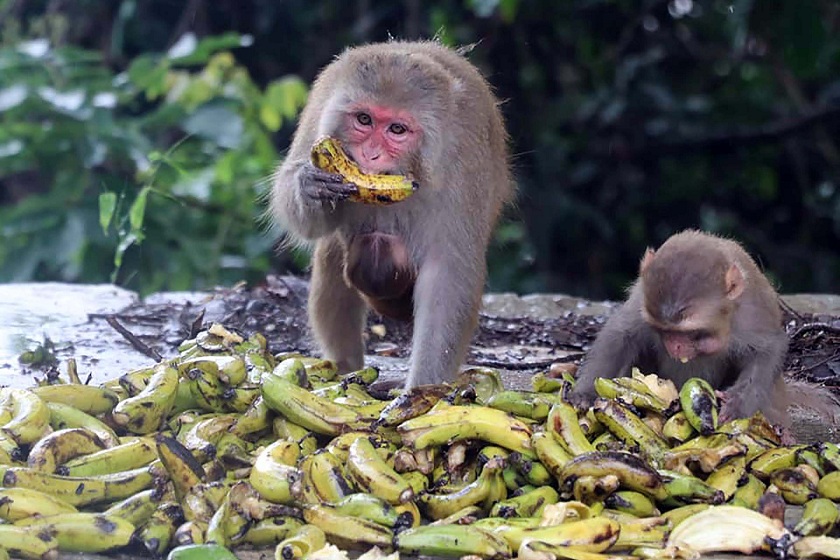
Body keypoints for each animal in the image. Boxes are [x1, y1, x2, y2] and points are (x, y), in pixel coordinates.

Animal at [272, 40, 516, 390]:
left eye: (397, 129)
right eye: (364, 119)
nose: (370, 154)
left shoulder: (464, 162)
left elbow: (447, 273)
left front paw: (422, 389)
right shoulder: (321, 108)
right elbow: (302, 214)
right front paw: (309, 186)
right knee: (332, 260)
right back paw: (346, 368)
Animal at [564, 228, 796, 424]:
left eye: (694, 333)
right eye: (664, 331)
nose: (674, 346)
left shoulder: (752, 312)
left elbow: (768, 349)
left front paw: (738, 403)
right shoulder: (641, 296)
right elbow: (621, 333)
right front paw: (586, 392)